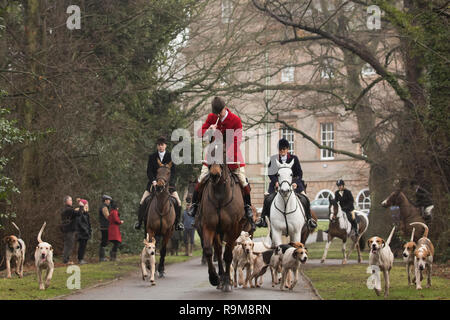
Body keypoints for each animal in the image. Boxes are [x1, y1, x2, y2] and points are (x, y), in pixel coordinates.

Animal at [199, 161, 244, 292]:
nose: (214, 175)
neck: (219, 194)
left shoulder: (233, 229)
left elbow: (228, 255)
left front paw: (228, 282)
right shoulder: (209, 226)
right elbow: (208, 250)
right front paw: (214, 278)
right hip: (217, 232)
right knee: (218, 251)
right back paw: (220, 277)